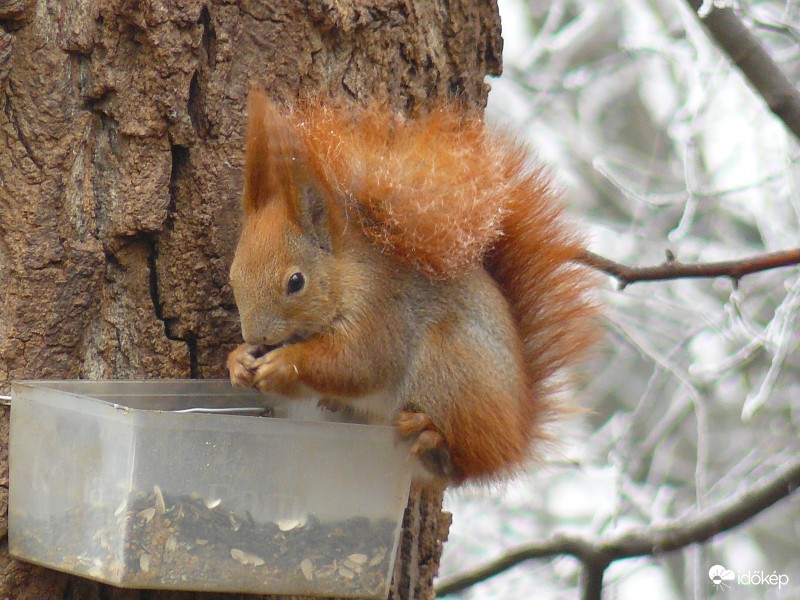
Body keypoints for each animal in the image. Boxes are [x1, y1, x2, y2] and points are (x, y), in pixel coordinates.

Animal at [228, 91, 596, 488]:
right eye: (233, 276)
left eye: (296, 282)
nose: (257, 337)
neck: (346, 278)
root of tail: (515, 436)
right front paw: (238, 361)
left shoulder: (381, 312)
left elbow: (356, 363)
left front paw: (283, 363)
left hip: (451, 368)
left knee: (458, 463)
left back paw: (431, 437)